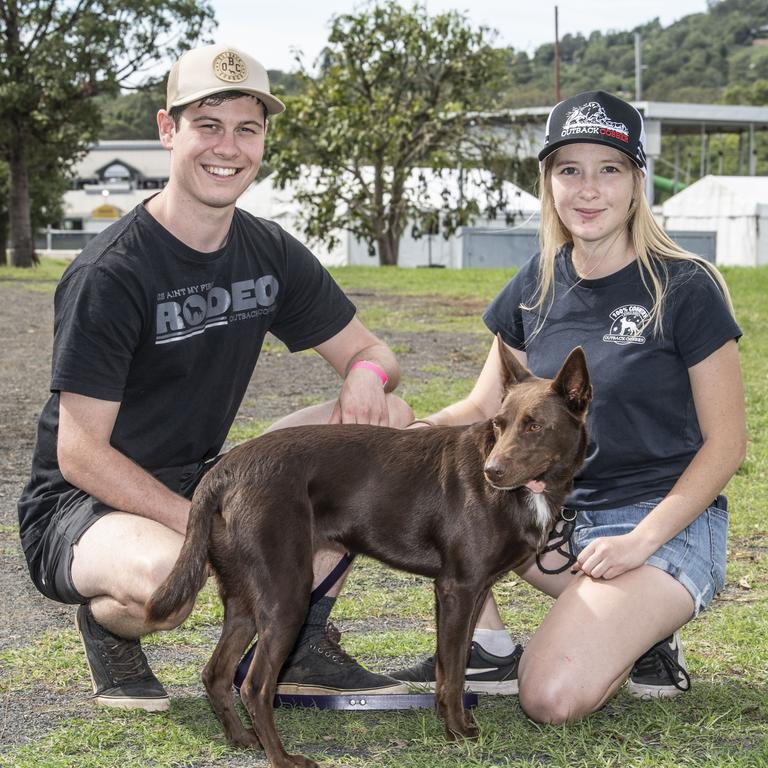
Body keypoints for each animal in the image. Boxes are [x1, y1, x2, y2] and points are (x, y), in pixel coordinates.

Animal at [147, 340, 592, 768]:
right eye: (499, 425)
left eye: (534, 426)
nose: (491, 472)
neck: (531, 492)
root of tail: (224, 470)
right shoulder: (457, 588)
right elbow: (450, 673)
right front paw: (456, 732)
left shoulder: (475, 590)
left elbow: (455, 667)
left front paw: (459, 725)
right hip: (286, 592)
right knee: (255, 686)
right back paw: (282, 758)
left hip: (244, 597)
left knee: (216, 673)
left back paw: (242, 739)